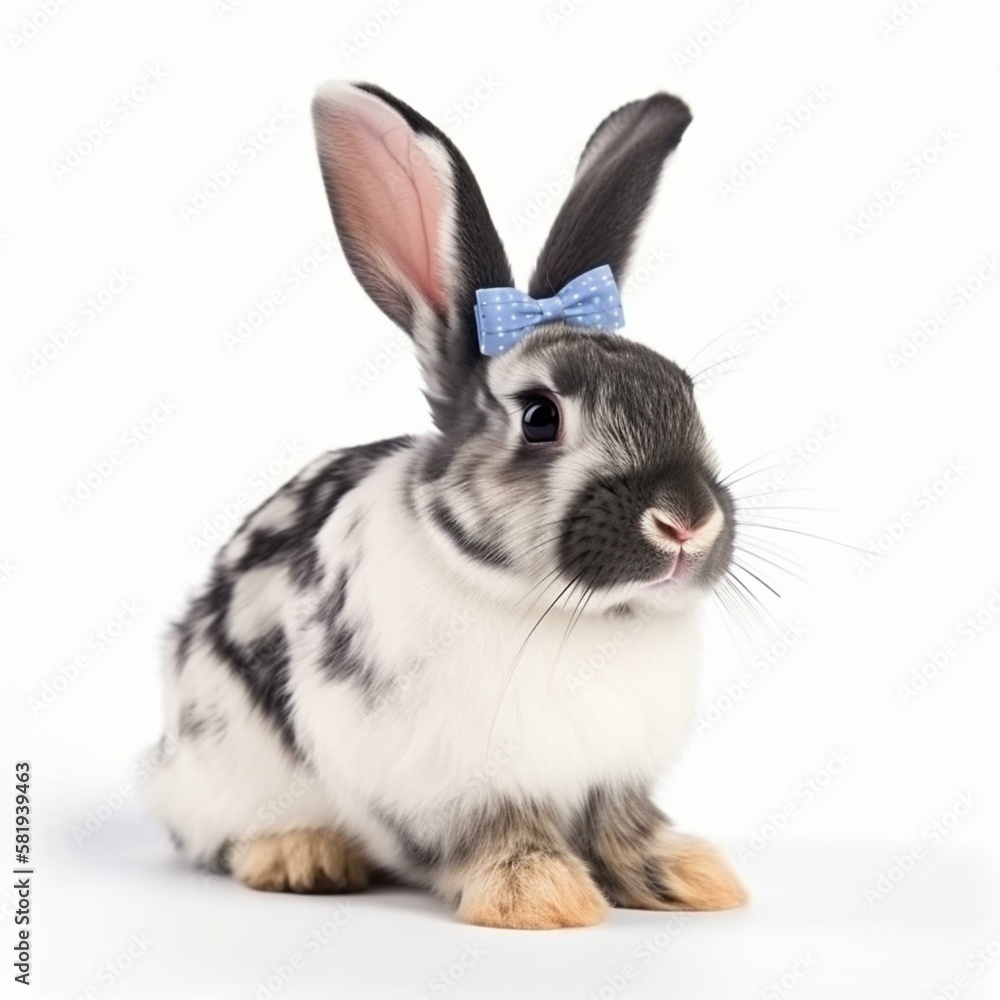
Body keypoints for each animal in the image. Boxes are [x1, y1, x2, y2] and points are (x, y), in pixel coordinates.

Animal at [143, 81, 748, 929]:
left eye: (685, 392)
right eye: (539, 417)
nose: (687, 520)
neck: (565, 611)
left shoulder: (614, 775)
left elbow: (624, 826)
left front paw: (687, 877)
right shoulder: (438, 777)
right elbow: (497, 831)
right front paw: (541, 896)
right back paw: (301, 856)